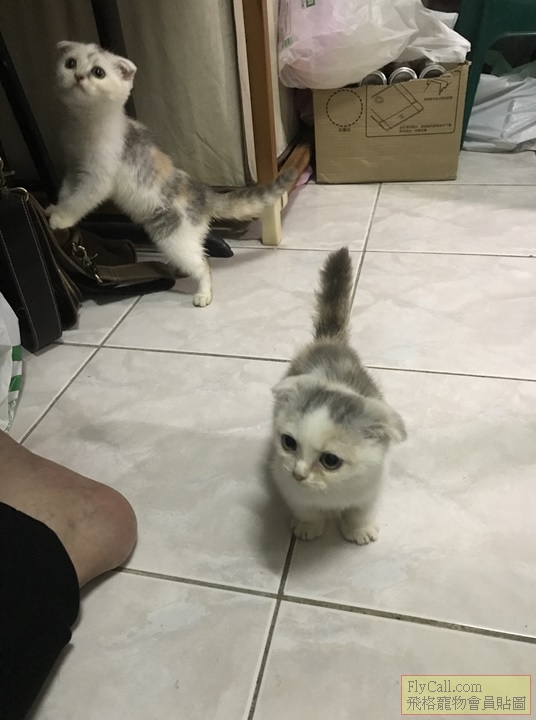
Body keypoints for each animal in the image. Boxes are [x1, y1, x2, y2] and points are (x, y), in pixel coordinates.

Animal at [47, 41, 296, 307]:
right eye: (71, 63)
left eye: (98, 72)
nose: (79, 76)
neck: (85, 125)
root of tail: (203, 193)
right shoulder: (74, 168)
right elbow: (67, 192)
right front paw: (54, 209)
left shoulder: (98, 178)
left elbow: (80, 201)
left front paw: (61, 218)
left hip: (173, 237)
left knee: (203, 263)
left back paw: (203, 293)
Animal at [269, 247, 406, 544]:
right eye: (288, 443)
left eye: (330, 460)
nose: (298, 473)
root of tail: (329, 340)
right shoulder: (285, 482)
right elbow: (304, 506)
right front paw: (308, 526)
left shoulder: (372, 482)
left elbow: (360, 510)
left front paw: (359, 529)